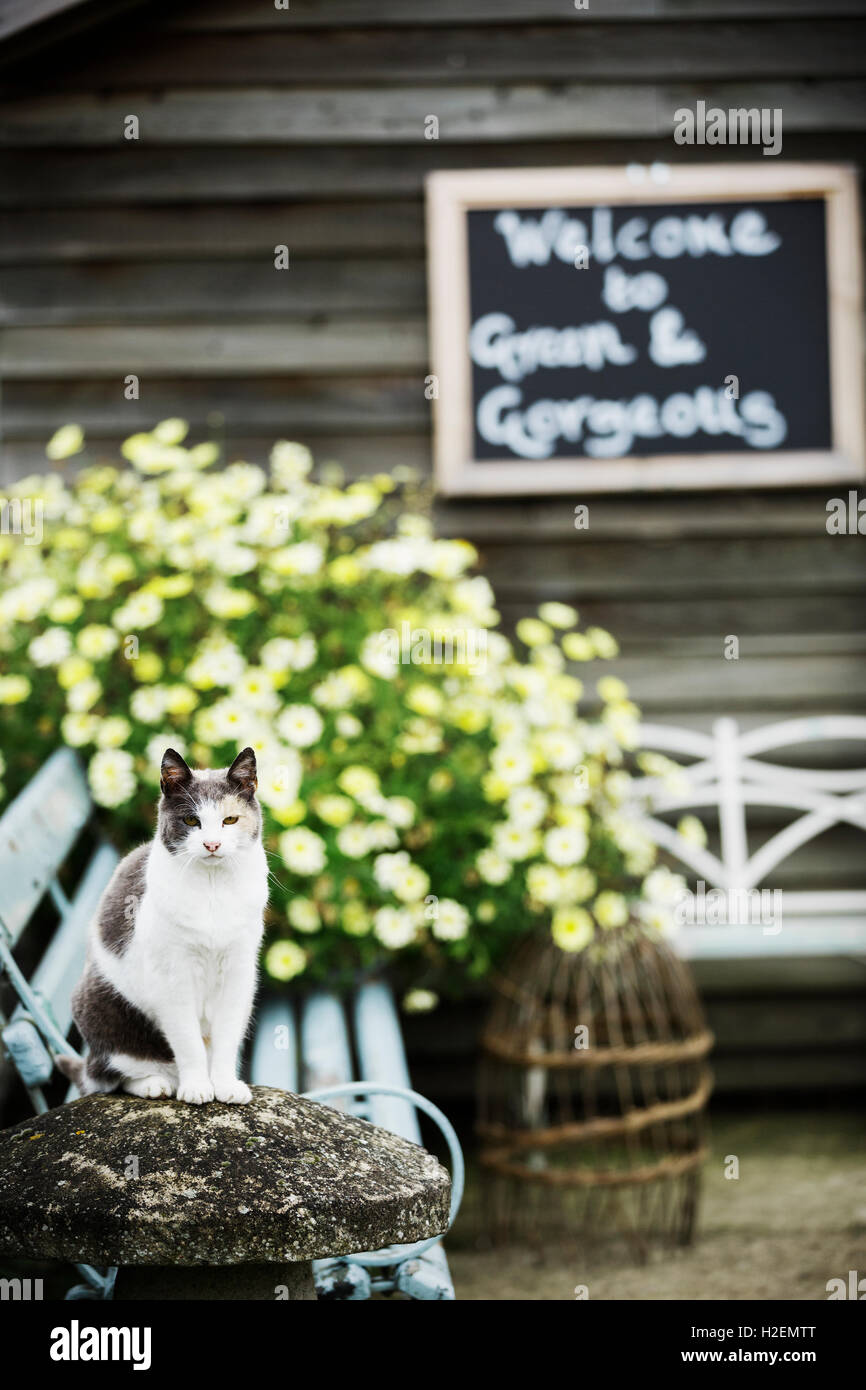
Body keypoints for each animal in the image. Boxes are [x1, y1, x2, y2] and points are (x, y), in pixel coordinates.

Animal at [57, 750, 268, 1106]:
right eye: (191, 821)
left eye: (230, 820)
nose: (212, 844)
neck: (213, 888)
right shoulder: (173, 977)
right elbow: (187, 1041)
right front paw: (196, 1086)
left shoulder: (239, 972)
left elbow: (226, 1037)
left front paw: (225, 1084)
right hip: (103, 1009)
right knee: (110, 1076)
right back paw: (155, 1084)